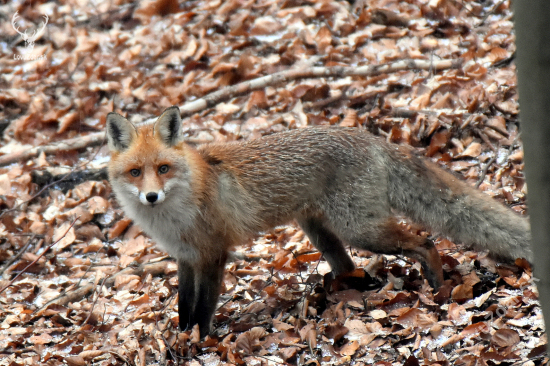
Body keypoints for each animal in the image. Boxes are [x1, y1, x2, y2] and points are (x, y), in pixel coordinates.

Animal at [106, 105, 536, 334]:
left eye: (163, 168)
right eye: (135, 172)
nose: (151, 196)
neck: (175, 215)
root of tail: (372, 138)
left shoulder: (213, 254)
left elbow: (202, 309)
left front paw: (197, 343)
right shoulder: (185, 257)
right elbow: (183, 305)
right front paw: (180, 338)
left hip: (361, 229)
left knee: (424, 242)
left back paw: (437, 285)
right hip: (321, 232)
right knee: (350, 267)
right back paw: (344, 292)